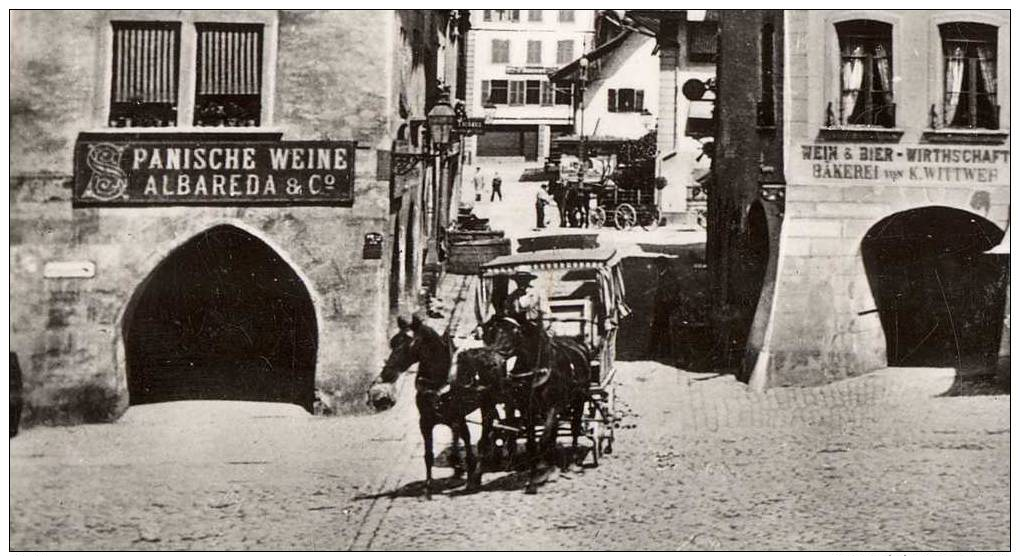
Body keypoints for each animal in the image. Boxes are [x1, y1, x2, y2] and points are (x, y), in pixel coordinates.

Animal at [375, 316, 501, 497]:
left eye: (408, 344)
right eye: (393, 343)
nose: (386, 374)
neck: (438, 384)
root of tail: (493, 351)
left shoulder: (458, 418)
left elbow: (468, 446)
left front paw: (470, 477)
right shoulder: (426, 422)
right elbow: (429, 455)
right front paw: (428, 486)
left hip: (487, 406)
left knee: (484, 436)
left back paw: (477, 470)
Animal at [483, 316, 595, 493]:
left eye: (515, 331)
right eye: (492, 331)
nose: (491, 361)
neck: (538, 371)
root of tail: (576, 341)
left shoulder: (553, 408)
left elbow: (542, 440)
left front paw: (539, 475)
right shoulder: (528, 411)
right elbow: (532, 443)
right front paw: (534, 475)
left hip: (579, 399)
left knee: (575, 428)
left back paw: (573, 462)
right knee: (555, 432)